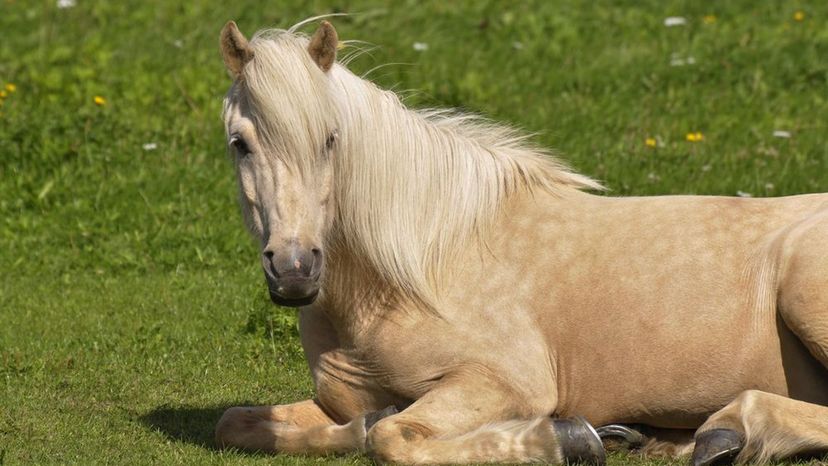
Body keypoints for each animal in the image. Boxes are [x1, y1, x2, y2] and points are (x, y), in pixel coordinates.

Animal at [217, 19, 828, 466]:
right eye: (239, 143)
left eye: (330, 139)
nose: (294, 269)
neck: (413, 274)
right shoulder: (332, 403)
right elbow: (243, 424)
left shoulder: (502, 384)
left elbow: (391, 439)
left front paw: (566, 437)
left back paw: (730, 429)